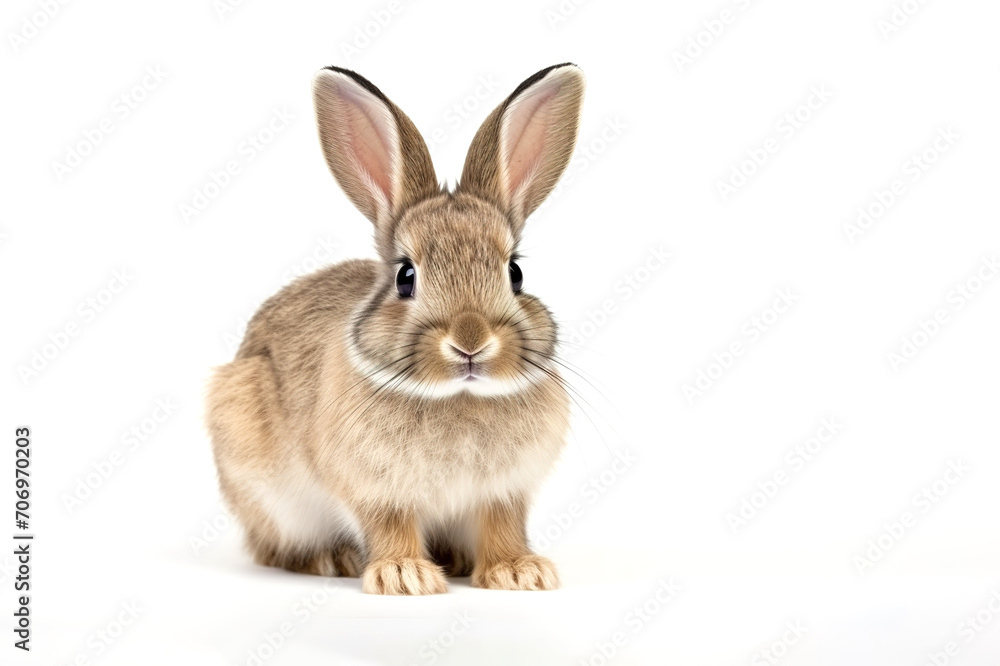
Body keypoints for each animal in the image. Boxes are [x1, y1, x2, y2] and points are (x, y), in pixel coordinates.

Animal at [205, 62, 585, 595]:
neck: (459, 397)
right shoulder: (377, 489)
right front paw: (405, 576)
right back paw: (333, 558)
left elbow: (502, 526)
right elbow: (391, 525)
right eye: (406, 276)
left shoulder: (503, 492)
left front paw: (519, 572)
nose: (470, 343)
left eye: (515, 273)